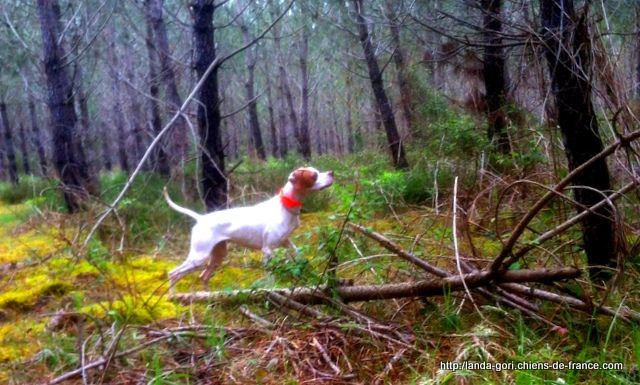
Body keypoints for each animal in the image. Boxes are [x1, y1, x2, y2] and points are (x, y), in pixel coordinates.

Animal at [164, 166, 336, 286]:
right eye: (314, 175)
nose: (331, 173)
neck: (285, 206)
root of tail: (201, 218)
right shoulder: (268, 250)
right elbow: (270, 274)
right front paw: (271, 289)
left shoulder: (286, 242)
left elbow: (298, 253)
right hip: (199, 257)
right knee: (173, 274)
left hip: (218, 255)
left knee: (203, 276)